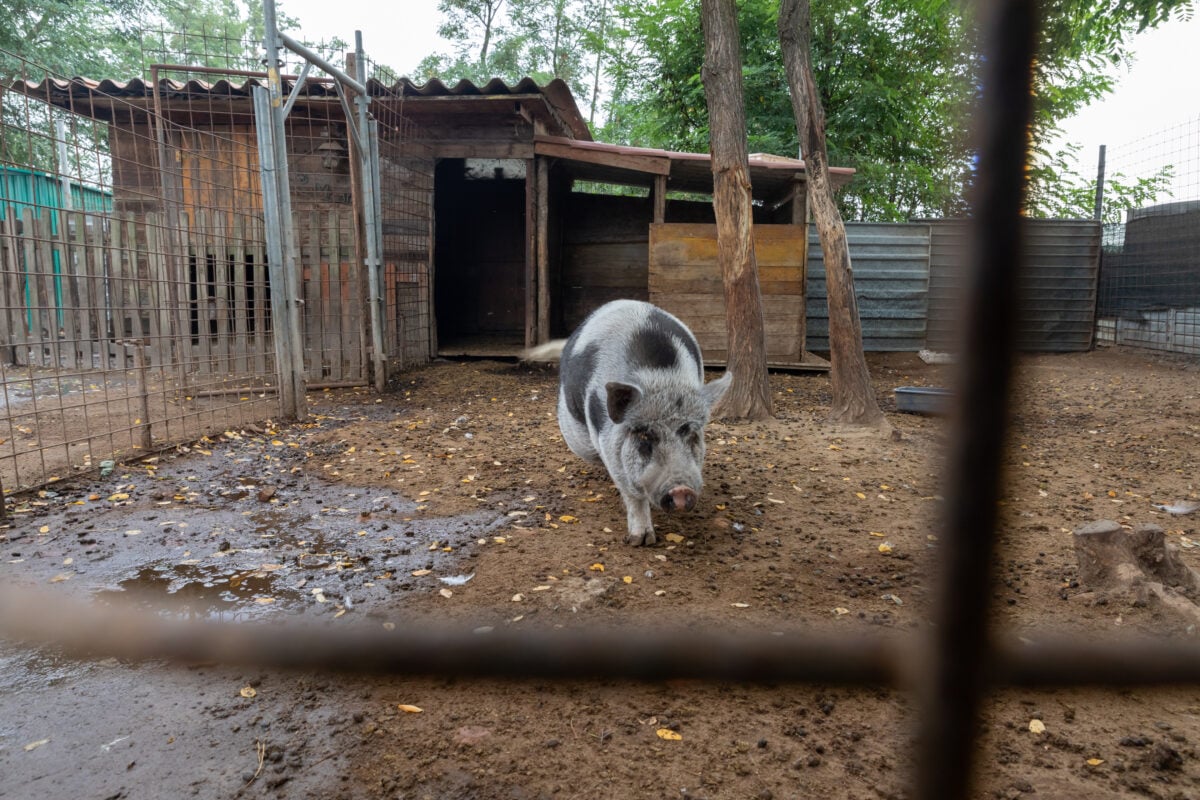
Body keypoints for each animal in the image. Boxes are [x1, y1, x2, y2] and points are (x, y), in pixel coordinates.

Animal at [542, 297, 729, 546]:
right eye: (644, 434)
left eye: (691, 433)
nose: (681, 490)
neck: (660, 378)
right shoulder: (610, 446)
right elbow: (632, 495)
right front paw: (640, 541)